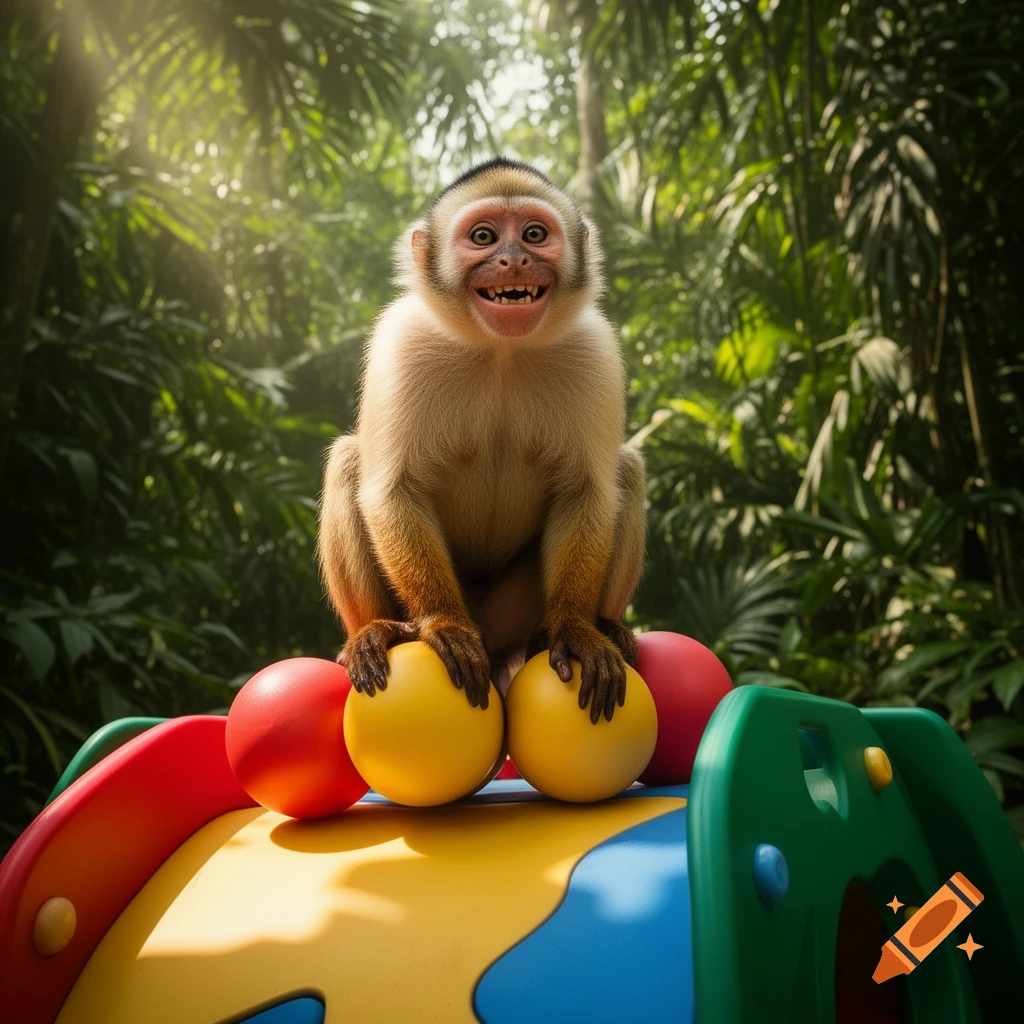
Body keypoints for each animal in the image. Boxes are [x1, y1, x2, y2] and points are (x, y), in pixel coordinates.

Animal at [316, 157, 646, 724]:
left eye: (534, 235)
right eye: (484, 237)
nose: (513, 260)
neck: (501, 351)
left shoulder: (594, 349)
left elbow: (586, 491)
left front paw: (574, 630)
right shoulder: (403, 341)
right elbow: (393, 490)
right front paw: (444, 623)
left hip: (512, 612)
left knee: (625, 469)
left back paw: (596, 627)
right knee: (348, 460)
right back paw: (374, 631)